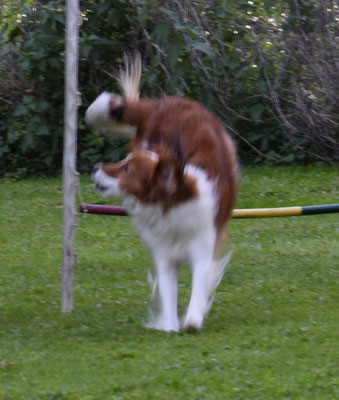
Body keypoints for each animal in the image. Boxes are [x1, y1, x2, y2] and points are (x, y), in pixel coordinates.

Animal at [85, 56, 239, 332]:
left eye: (127, 168)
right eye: (123, 160)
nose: (95, 167)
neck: (170, 206)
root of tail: (165, 102)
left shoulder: (203, 248)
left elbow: (198, 290)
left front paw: (192, 320)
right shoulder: (165, 257)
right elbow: (168, 295)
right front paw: (168, 325)